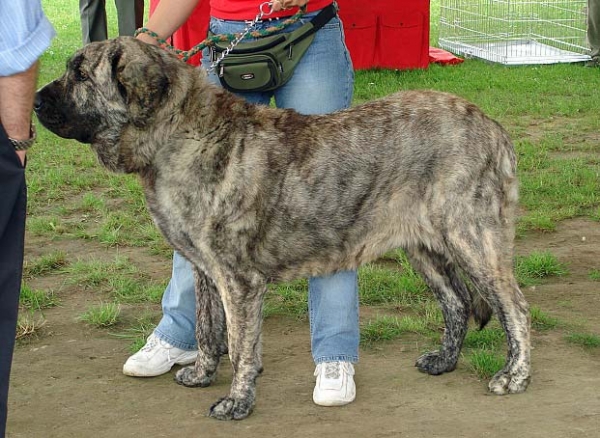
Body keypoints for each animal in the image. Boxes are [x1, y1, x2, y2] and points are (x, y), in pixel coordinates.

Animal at [35, 37, 532, 420]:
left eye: (81, 75)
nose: (36, 100)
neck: (174, 135)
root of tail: (493, 127)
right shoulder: (205, 270)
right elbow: (206, 329)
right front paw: (201, 373)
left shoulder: (238, 280)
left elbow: (240, 345)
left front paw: (236, 402)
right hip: (425, 247)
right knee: (457, 301)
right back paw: (445, 361)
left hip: (473, 238)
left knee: (515, 308)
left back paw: (515, 376)